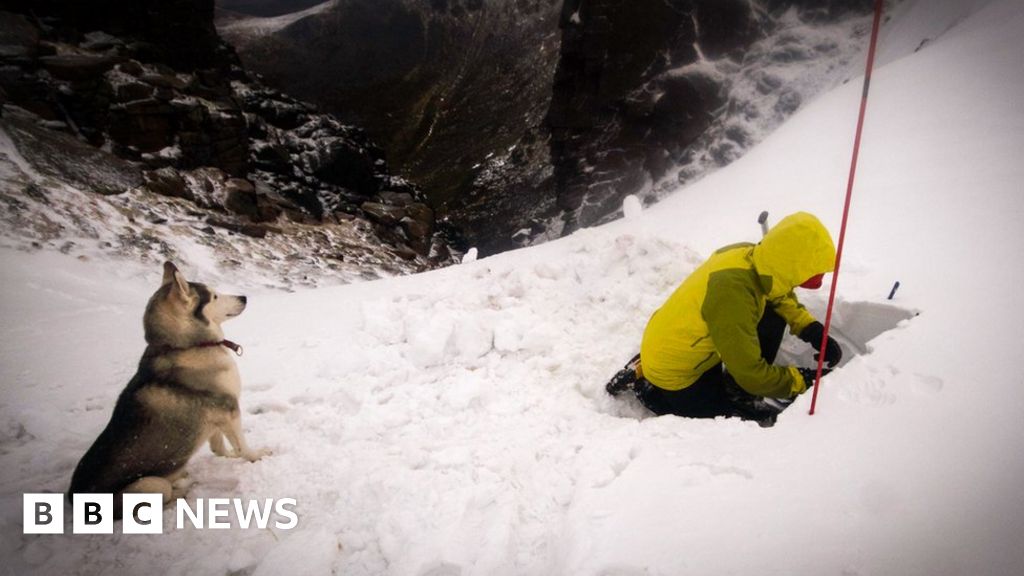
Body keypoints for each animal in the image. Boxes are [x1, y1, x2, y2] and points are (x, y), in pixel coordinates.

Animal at [68, 260, 266, 510]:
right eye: (214, 296)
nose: (244, 297)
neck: (186, 346)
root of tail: (72, 498)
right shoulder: (229, 409)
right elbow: (242, 446)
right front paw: (257, 456)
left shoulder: (216, 416)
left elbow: (219, 447)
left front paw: (228, 456)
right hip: (150, 484)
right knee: (164, 496)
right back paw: (184, 489)